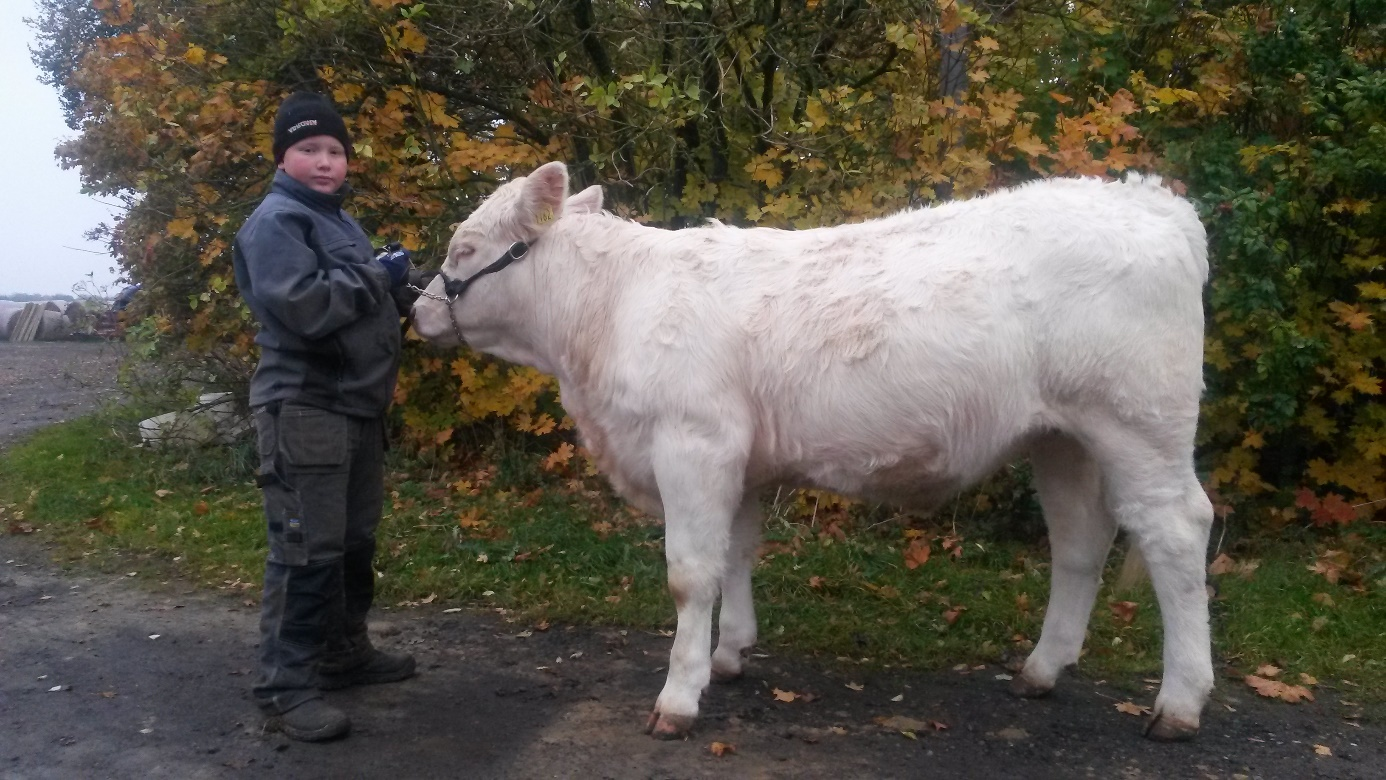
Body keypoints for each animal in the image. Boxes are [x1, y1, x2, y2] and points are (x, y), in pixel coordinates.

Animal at [413, 162, 1214, 742]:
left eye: (465, 249)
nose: (417, 308)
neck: (609, 311)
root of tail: (1149, 199)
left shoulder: (692, 443)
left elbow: (689, 575)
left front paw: (678, 697)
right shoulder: (738, 459)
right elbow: (735, 555)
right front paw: (729, 654)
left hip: (1138, 423)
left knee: (1177, 532)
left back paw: (1179, 704)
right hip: (1062, 438)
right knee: (1080, 540)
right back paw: (1042, 670)